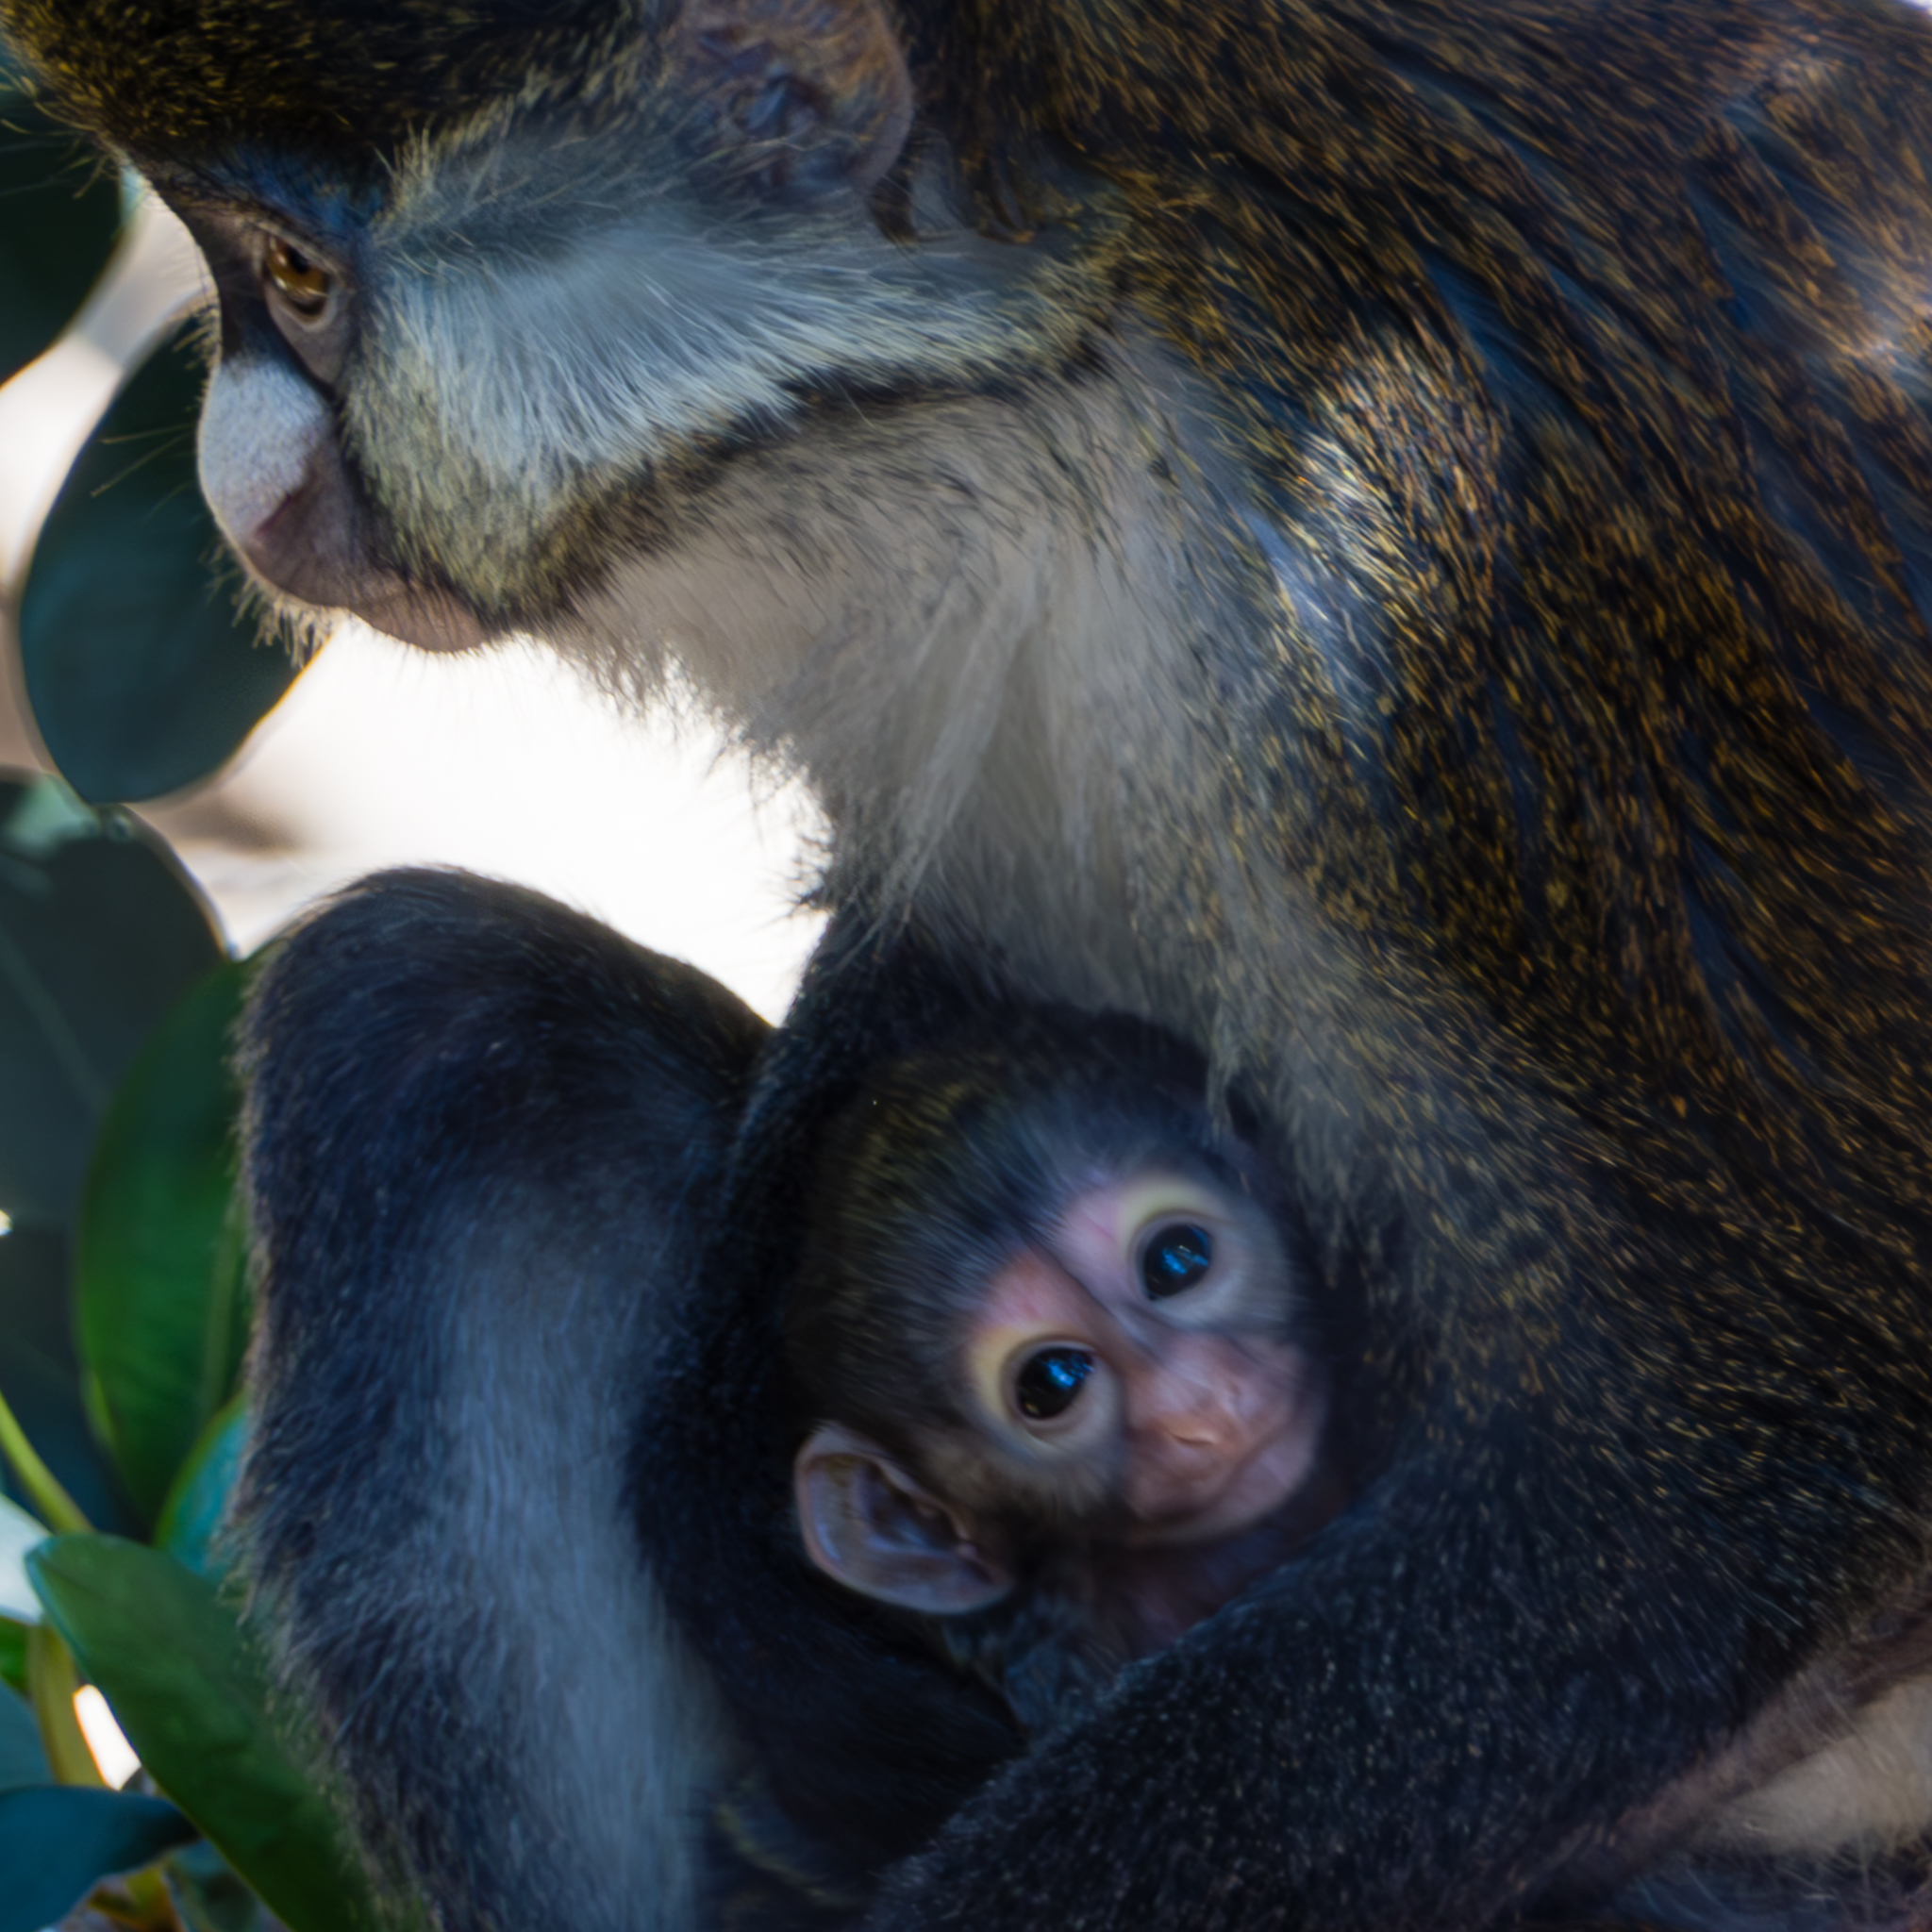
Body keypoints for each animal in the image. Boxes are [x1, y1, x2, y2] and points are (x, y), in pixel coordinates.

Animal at [12, 0, 1932, 1927]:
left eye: (297, 277)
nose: (236, 485)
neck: (1092, 322)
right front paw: (741, 1502)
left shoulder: (1459, 594)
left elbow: (1720, 1483)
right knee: (425, 1010)